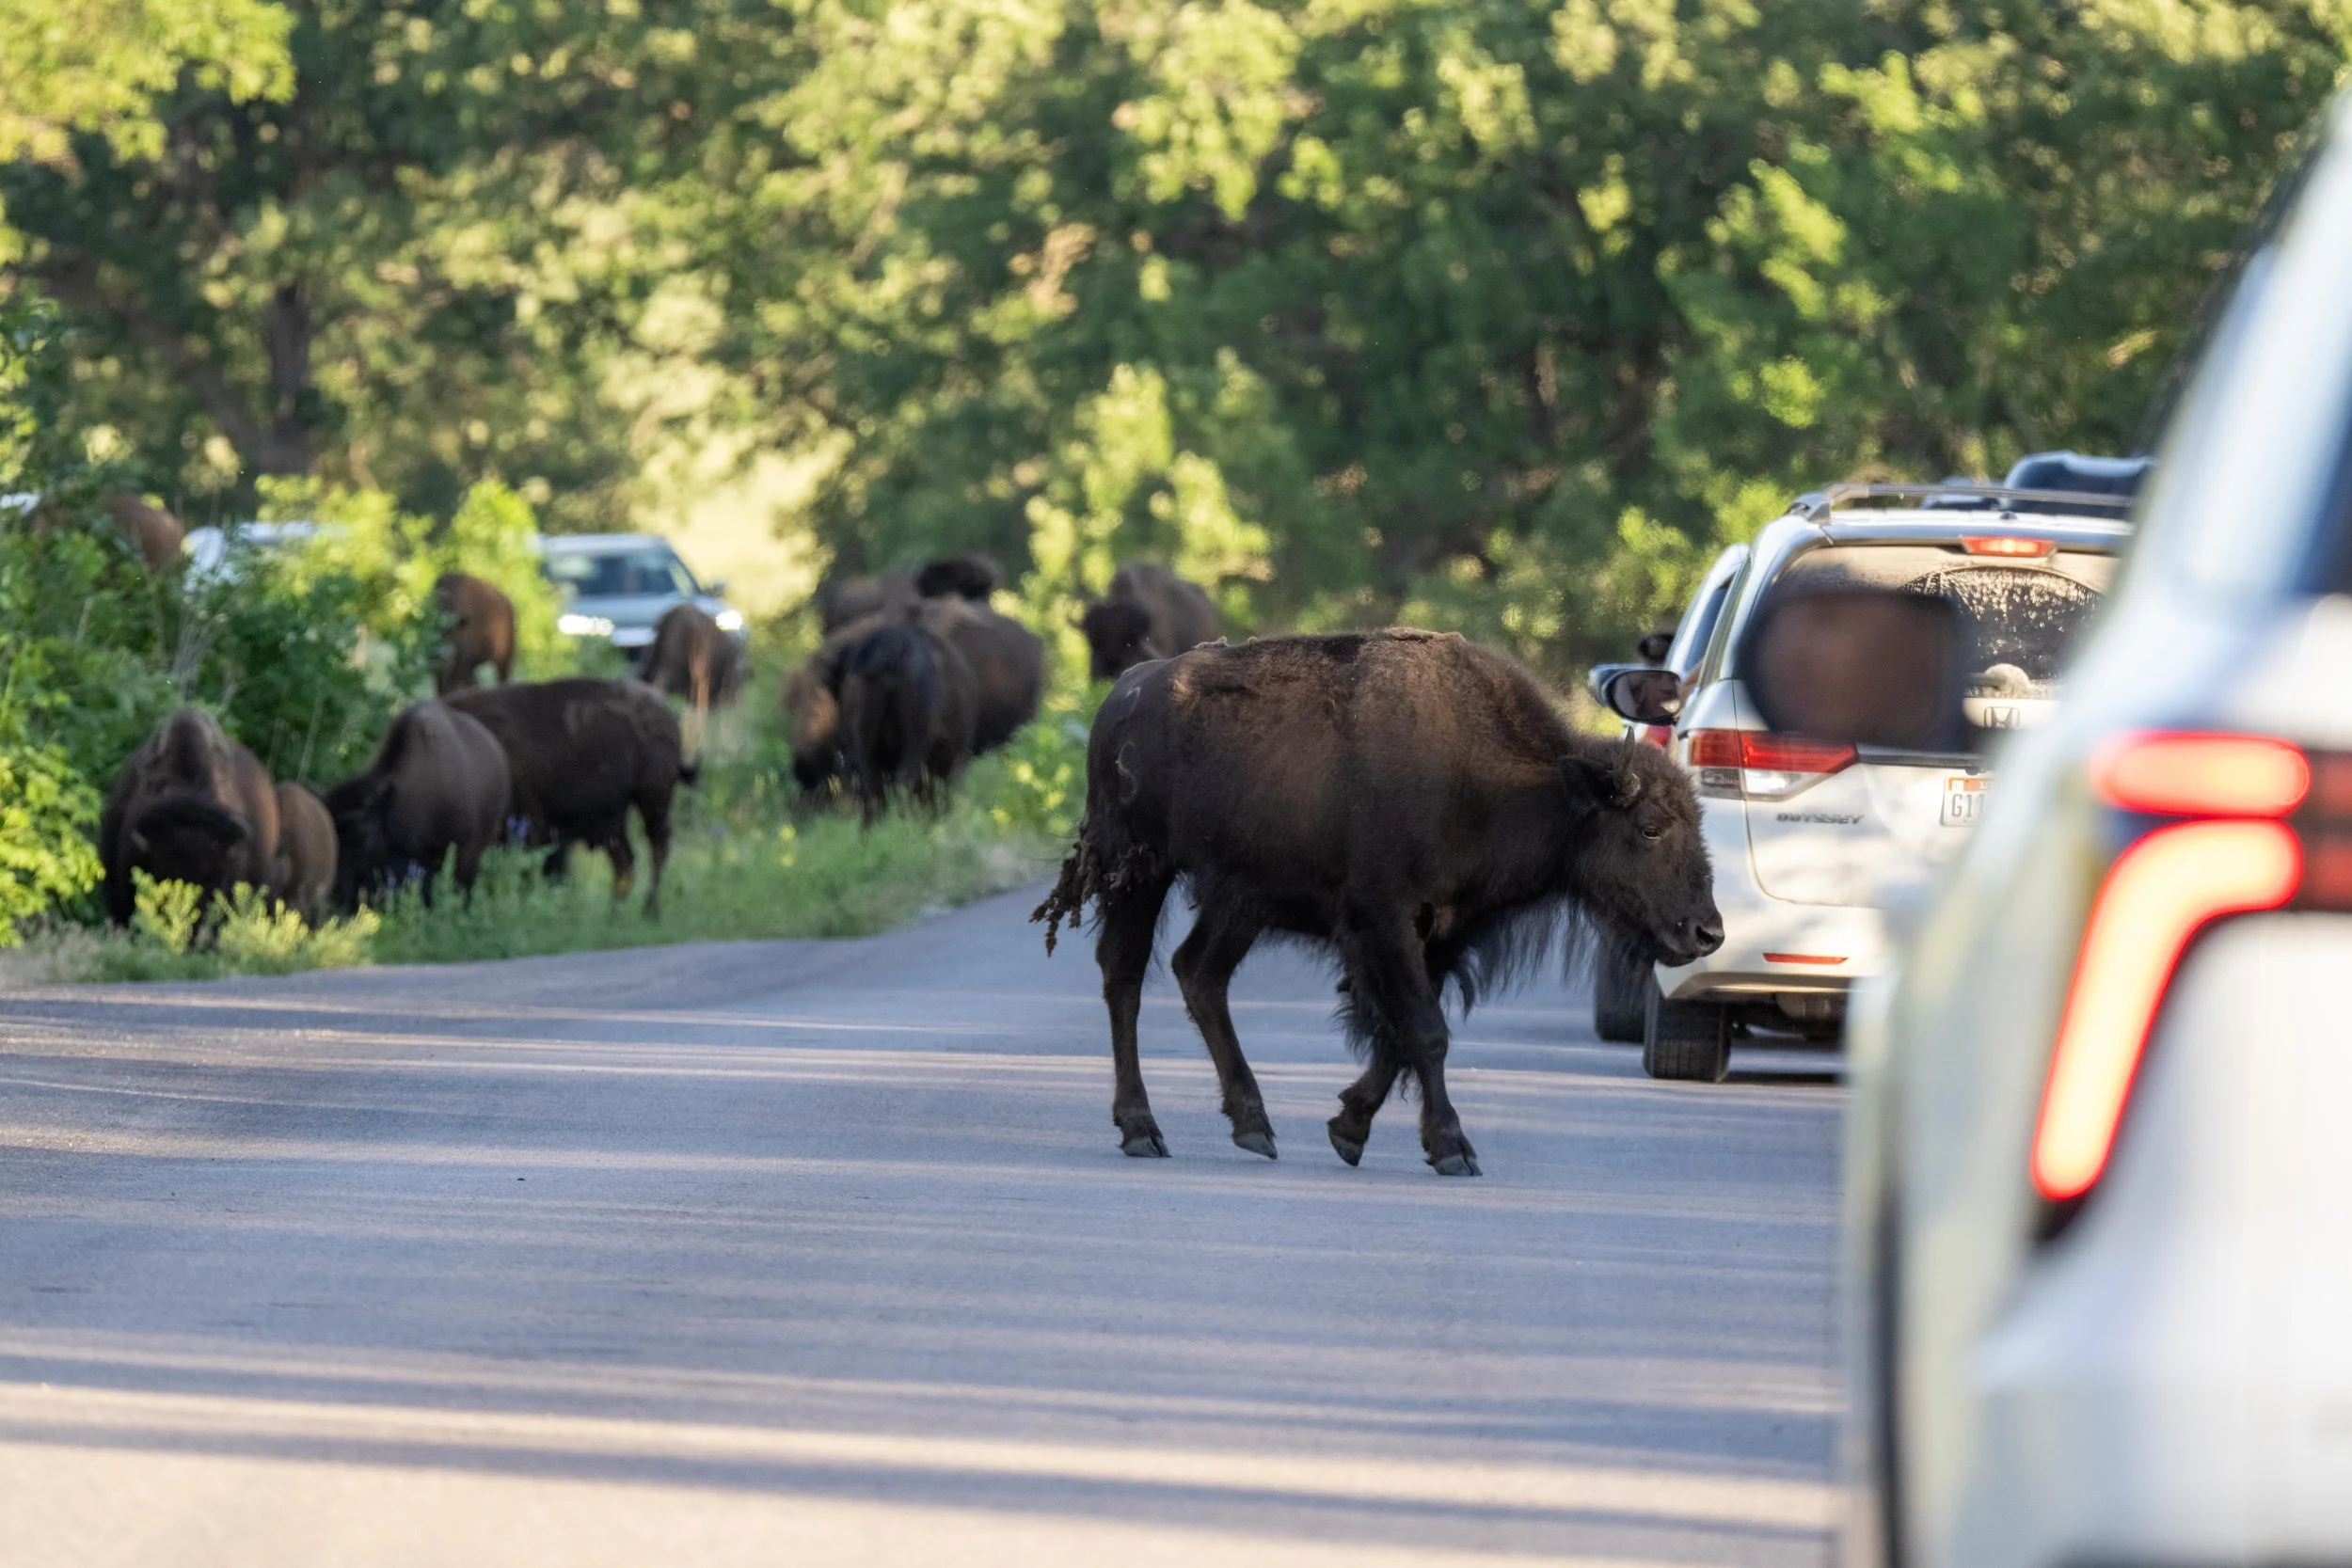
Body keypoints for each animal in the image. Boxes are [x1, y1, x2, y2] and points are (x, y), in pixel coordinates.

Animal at [446, 679, 691, 916]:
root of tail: (664, 709)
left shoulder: (531, 828)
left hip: (653, 801)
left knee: (657, 848)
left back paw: (649, 912)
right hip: (613, 822)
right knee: (625, 861)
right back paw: (612, 915)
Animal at [1035, 630, 1722, 1176]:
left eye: (1697, 821)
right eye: (1650, 828)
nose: (1707, 932)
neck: (1514, 781)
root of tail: (1123, 693)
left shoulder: (1439, 936)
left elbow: (1404, 1034)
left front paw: (1349, 1127)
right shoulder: (1385, 921)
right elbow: (1425, 1030)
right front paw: (1453, 1148)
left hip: (1241, 897)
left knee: (1198, 972)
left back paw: (1254, 1125)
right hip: (1141, 871)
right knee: (1125, 976)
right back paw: (1143, 1128)